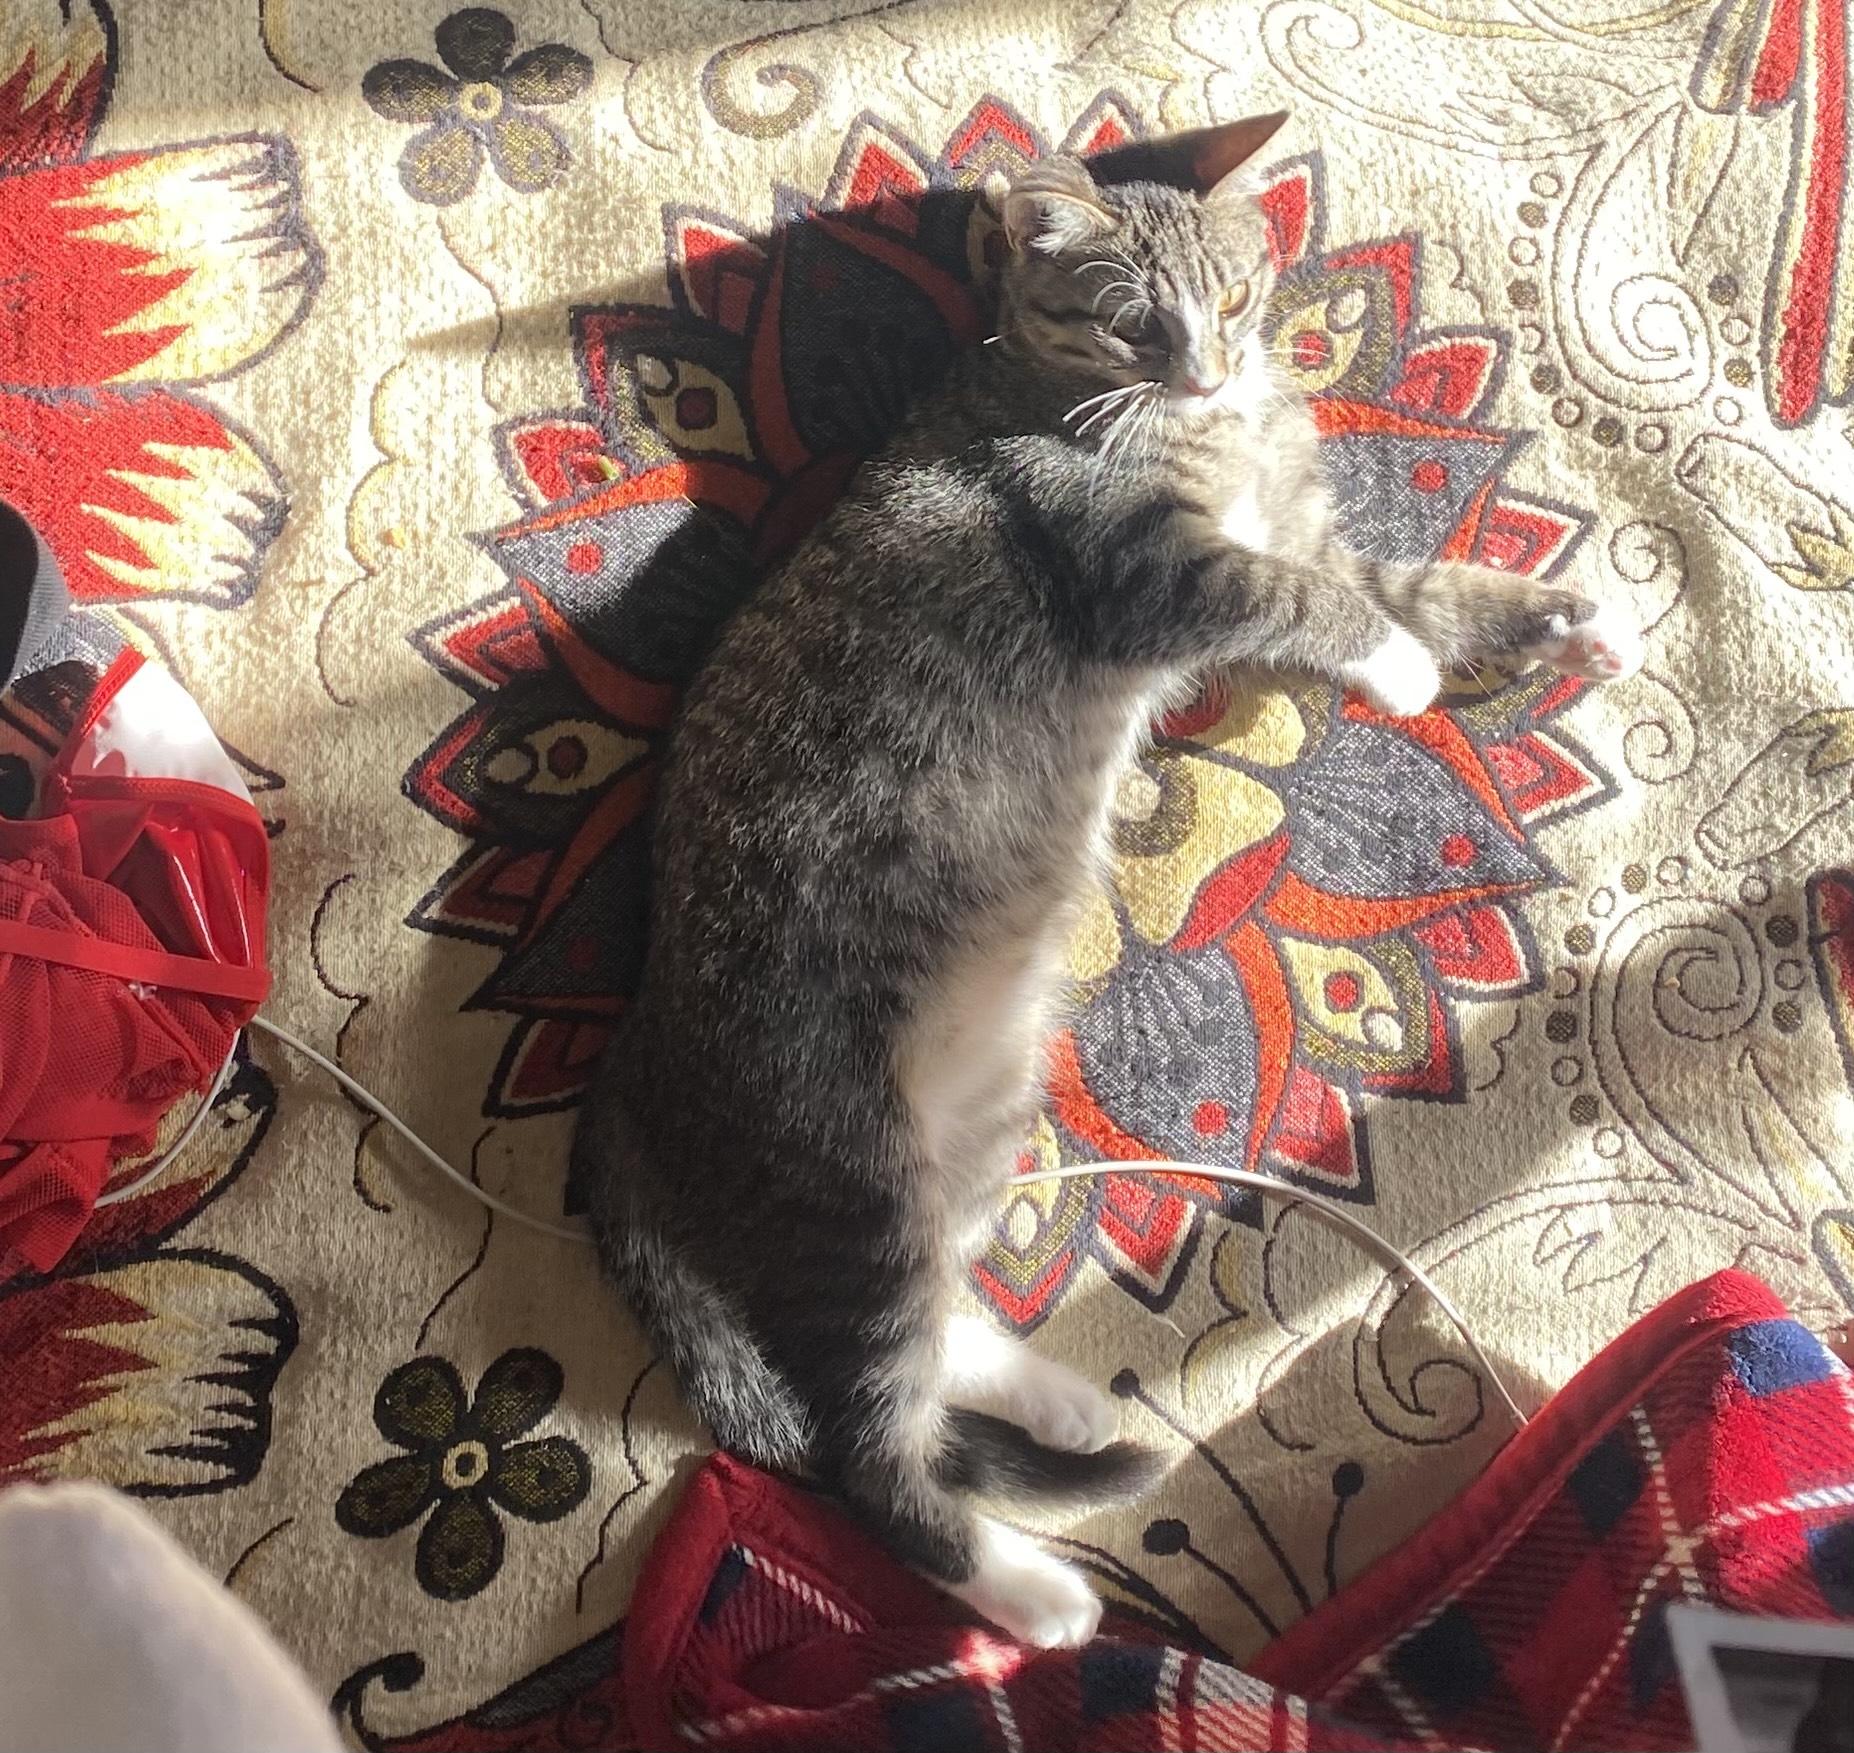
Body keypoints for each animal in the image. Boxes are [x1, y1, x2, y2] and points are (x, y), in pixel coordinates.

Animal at [574, 116, 1638, 1645]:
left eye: (1239, 299)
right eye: (1135, 323)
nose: (1205, 367)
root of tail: (632, 1054)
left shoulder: (1298, 532)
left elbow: (1406, 580)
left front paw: (1555, 619)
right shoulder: (1144, 568)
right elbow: (1312, 603)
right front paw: (1399, 667)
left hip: (972, 1119)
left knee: (935, 1326)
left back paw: (1056, 1396)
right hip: (846, 1170)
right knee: (867, 1445)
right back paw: (1027, 1593)